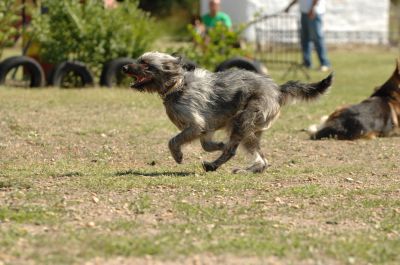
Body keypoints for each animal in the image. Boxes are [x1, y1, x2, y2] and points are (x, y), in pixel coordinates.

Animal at [122, 51, 334, 173]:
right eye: (139, 61)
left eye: (145, 64)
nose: (124, 67)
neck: (178, 85)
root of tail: (277, 89)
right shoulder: (205, 129)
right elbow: (207, 145)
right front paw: (219, 144)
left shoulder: (195, 125)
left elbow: (173, 140)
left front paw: (178, 155)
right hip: (249, 129)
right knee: (262, 160)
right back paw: (245, 168)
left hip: (244, 120)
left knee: (237, 151)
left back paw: (217, 166)